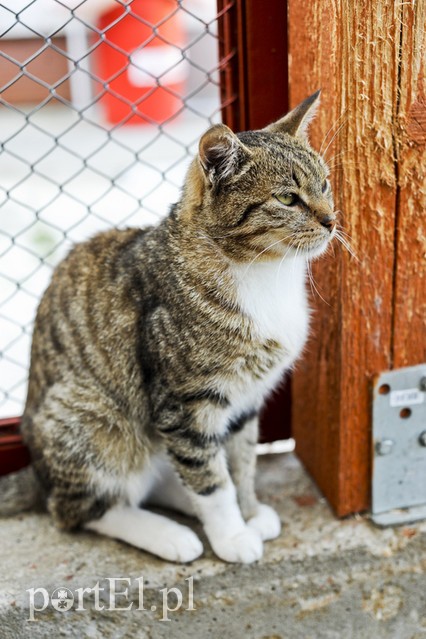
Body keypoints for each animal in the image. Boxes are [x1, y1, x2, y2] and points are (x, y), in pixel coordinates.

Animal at [12, 91, 336, 564]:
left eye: (325, 185)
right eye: (288, 198)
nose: (331, 220)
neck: (264, 273)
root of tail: (36, 474)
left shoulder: (245, 402)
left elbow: (240, 463)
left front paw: (248, 512)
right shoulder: (185, 404)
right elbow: (211, 479)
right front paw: (233, 535)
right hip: (91, 419)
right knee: (82, 508)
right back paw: (168, 534)